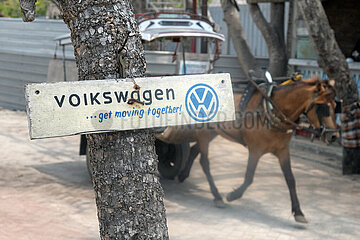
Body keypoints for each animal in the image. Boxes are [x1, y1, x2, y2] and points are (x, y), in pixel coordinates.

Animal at [157, 75, 338, 223]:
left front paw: (298, 212)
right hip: (204, 132)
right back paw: (217, 196)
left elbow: (290, 179)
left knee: (195, 151)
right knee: (204, 162)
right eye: (323, 108)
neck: (270, 111)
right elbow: (249, 177)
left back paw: (183, 175)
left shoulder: (283, 151)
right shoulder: (255, 150)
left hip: (213, 132)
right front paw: (233, 195)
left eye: (336, 105)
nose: (333, 136)